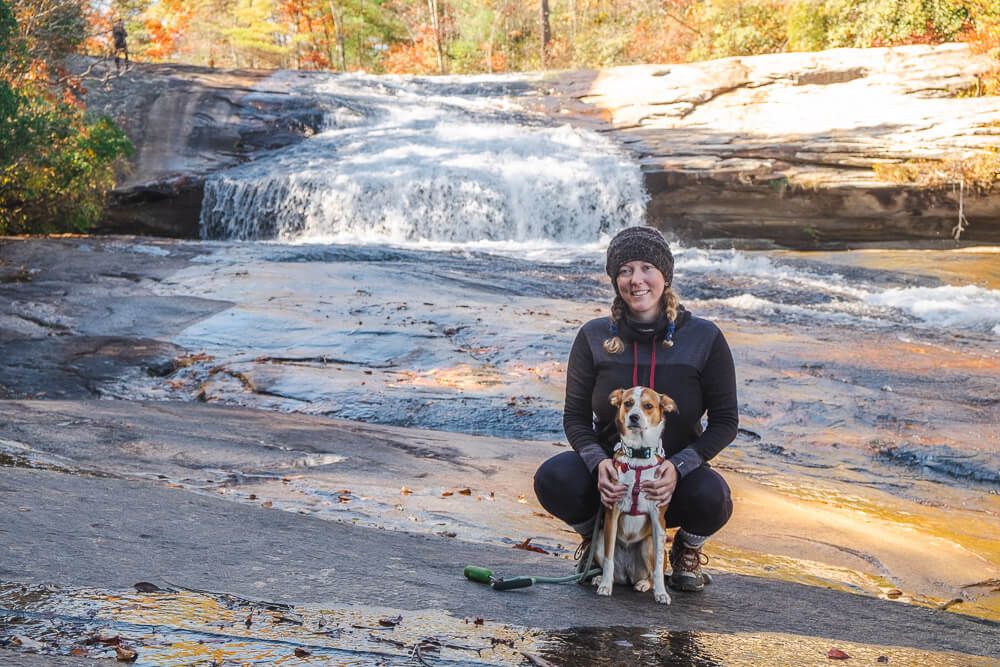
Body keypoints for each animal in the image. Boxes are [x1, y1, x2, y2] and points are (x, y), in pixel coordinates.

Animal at [592, 386, 680, 604]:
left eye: (648, 406)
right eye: (628, 403)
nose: (633, 417)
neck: (639, 457)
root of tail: (628, 575)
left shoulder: (658, 520)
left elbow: (658, 568)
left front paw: (662, 593)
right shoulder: (612, 514)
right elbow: (608, 560)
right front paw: (605, 585)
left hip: (647, 544)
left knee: (650, 574)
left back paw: (644, 584)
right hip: (599, 539)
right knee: (612, 567)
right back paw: (600, 579)